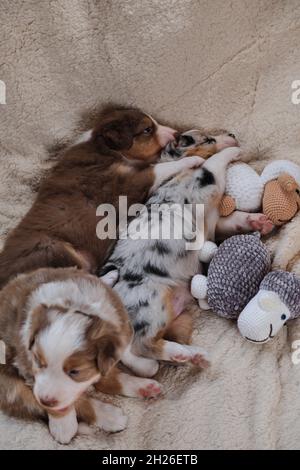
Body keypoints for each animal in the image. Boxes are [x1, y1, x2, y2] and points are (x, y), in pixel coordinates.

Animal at [0, 106, 204, 288]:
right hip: (53, 249)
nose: (176, 133)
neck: (103, 145)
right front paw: (194, 160)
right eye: (147, 129)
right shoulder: (125, 183)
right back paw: (110, 276)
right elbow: (160, 167)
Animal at [0, 268, 163, 444]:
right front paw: (63, 425)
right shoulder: (25, 362)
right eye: (38, 361)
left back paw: (144, 388)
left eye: (75, 372)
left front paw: (142, 364)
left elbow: (123, 350)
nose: (46, 400)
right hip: (10, 386)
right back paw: (109, 416)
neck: (76, 307)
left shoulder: (119, 323)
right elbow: (61, 404)